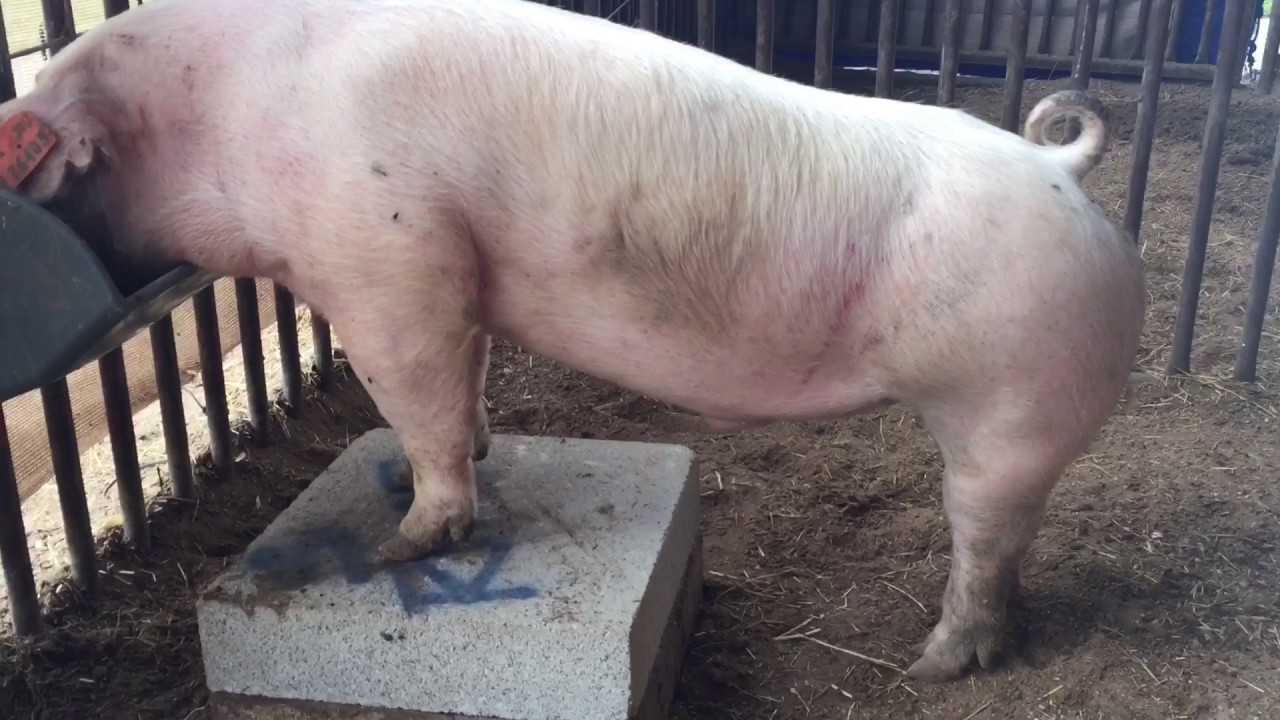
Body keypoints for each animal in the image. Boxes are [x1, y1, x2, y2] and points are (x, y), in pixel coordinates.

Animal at [0, 0, 1145, 681]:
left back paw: (931, 666)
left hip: (1015, 406)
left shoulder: (383, 257)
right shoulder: (456, 279)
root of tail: (1060, 172)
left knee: (984, 537)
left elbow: (414, 394)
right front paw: (455, 459)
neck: (212, 123)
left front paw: (402, 546)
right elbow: (462, 384)